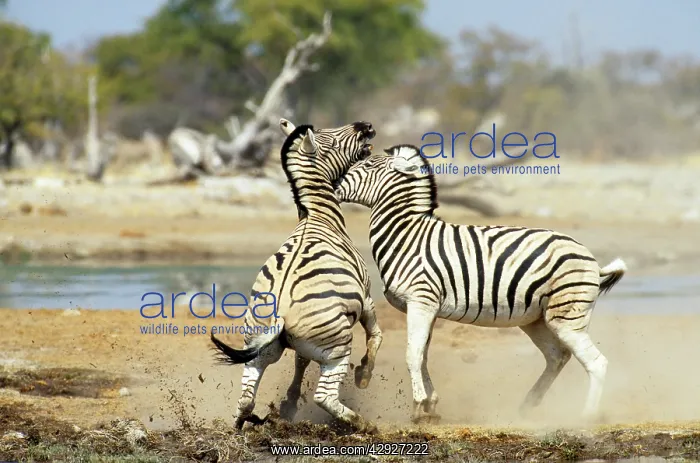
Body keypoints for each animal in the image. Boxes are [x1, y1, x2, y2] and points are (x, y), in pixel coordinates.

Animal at [210, 118, 383, 433]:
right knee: (325, 397)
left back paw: (244, 423)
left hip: (259, 347)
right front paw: (365, 374)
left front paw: (289, 402)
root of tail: (279, 311)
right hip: (338, 347)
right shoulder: (365, 297)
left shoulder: (305, 341)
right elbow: (376, 335)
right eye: (332, 139)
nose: (365, 125)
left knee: (246, 398)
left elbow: (301, 361)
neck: (318, 216)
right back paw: (363, 424)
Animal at [333, 144, 627, 424]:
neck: (406, 236)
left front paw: (417, 408)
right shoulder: (429, 308)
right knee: (558, 356)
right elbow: (424, 355)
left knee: (596, 362)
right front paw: (431, 405)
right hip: (536, 319)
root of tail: (592, 259)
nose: (332, 184)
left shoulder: (420, 302)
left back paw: (586, 416)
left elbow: (413, 354)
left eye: (367, 165)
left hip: (566, 317)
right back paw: (528, 405)